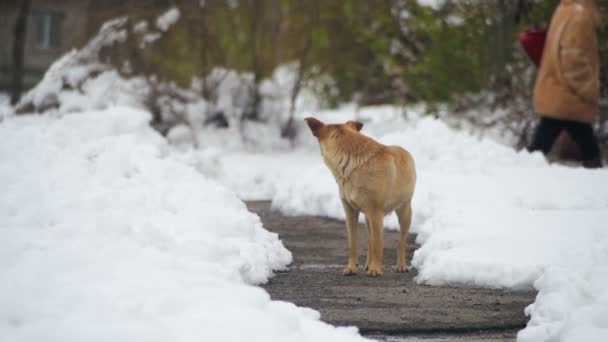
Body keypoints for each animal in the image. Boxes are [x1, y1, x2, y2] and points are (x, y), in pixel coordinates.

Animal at [306, 117, 416, 276]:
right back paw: (368, 264)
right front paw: (352, 267)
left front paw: (376, 270)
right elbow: (354, 244)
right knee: (370, 241)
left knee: (400, 242)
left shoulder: (376, 214)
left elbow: (378, 246)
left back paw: (400, 265)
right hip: (368, 218)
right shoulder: (351, 213)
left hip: (404, 212)